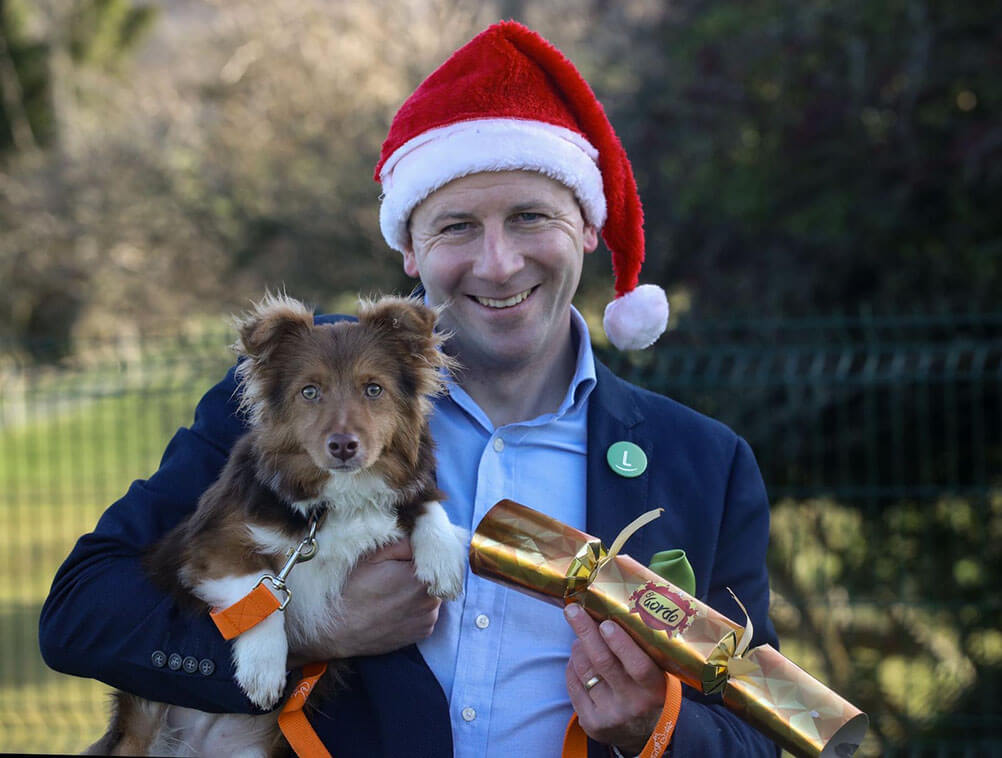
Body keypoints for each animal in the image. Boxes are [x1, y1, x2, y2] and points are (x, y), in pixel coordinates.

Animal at [94, 292, 464, 753]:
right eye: (310, 391)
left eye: (374, 389)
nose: (343, 446)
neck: (337, 499)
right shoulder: (209, 546)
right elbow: (261, 590)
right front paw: (263, 669)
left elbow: (426, 504)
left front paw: (443, 559)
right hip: (139, 728)